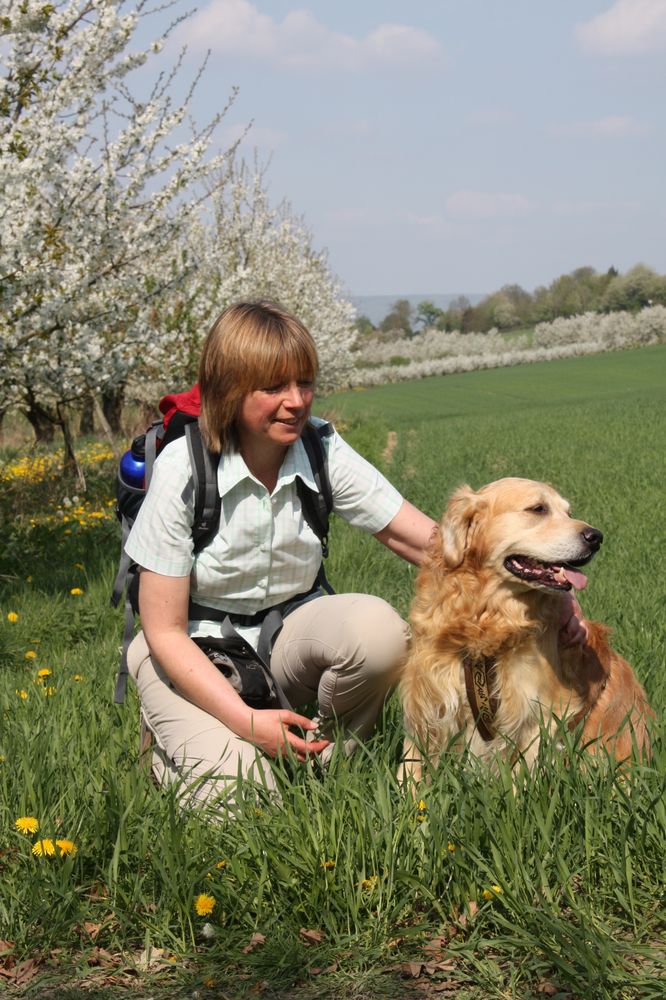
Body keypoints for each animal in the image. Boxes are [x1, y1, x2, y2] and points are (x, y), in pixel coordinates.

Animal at [400, 478, 648, 780]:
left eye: (568, 512)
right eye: (538, 509)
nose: (596, 537)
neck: (487, 619)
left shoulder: (536, 713)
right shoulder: (426, 699)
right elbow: (409, 770)